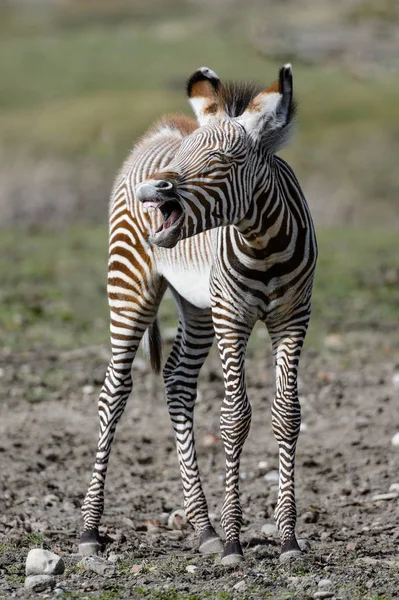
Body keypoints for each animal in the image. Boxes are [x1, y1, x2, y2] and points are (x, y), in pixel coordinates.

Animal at [79, 63, 318, 564]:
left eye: (226, 160)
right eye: (186, 156)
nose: (151, 192)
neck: (263, 245)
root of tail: (162, 129)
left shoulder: (294, 317)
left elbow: (287, 415)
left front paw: (287, 538)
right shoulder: (232, 316)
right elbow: (234, 417)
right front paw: (234, 542)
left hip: (196, 306)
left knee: (178, 381)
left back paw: (204, 526)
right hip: (130, 287)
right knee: (113, 391)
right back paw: (89, 531)